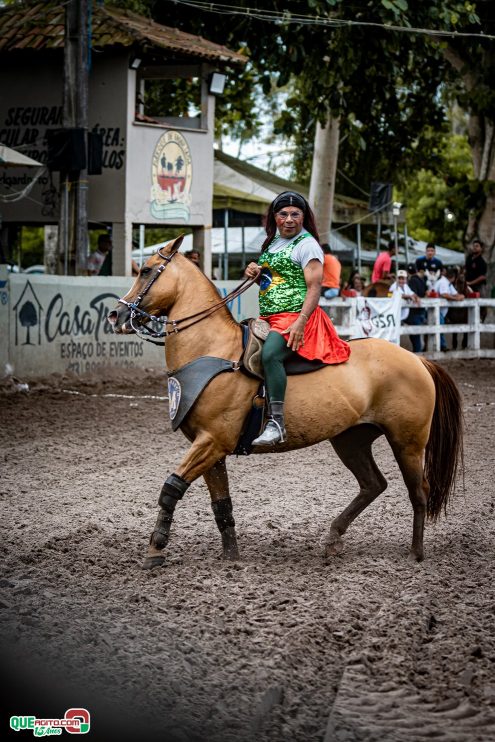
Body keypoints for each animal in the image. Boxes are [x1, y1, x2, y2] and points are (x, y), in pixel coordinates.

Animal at [107, 235, 464, 572]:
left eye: (146, 271)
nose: (116, 314)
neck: (213, 351)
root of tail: (418, 360)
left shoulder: (211, 442)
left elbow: (171, 487)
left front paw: (155, 550)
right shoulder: (211, 447)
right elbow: (222, 504)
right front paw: (231, 556)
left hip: (408, 442)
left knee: (418, 491)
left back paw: (416, 552)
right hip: (351, 440)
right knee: (373, 484)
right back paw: (333, 538)